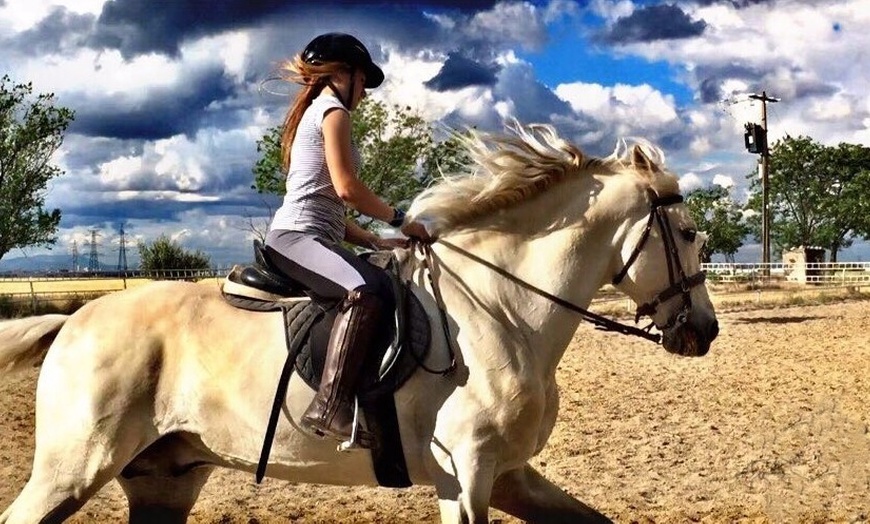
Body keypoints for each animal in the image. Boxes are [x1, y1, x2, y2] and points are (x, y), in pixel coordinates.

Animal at [0, 122, 718, 524]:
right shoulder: (466, 474)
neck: (505, 315)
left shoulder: (509, 474)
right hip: (72, 469)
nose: (704, 331)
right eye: (688, 234)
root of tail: (73, 320)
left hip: (162, 482)